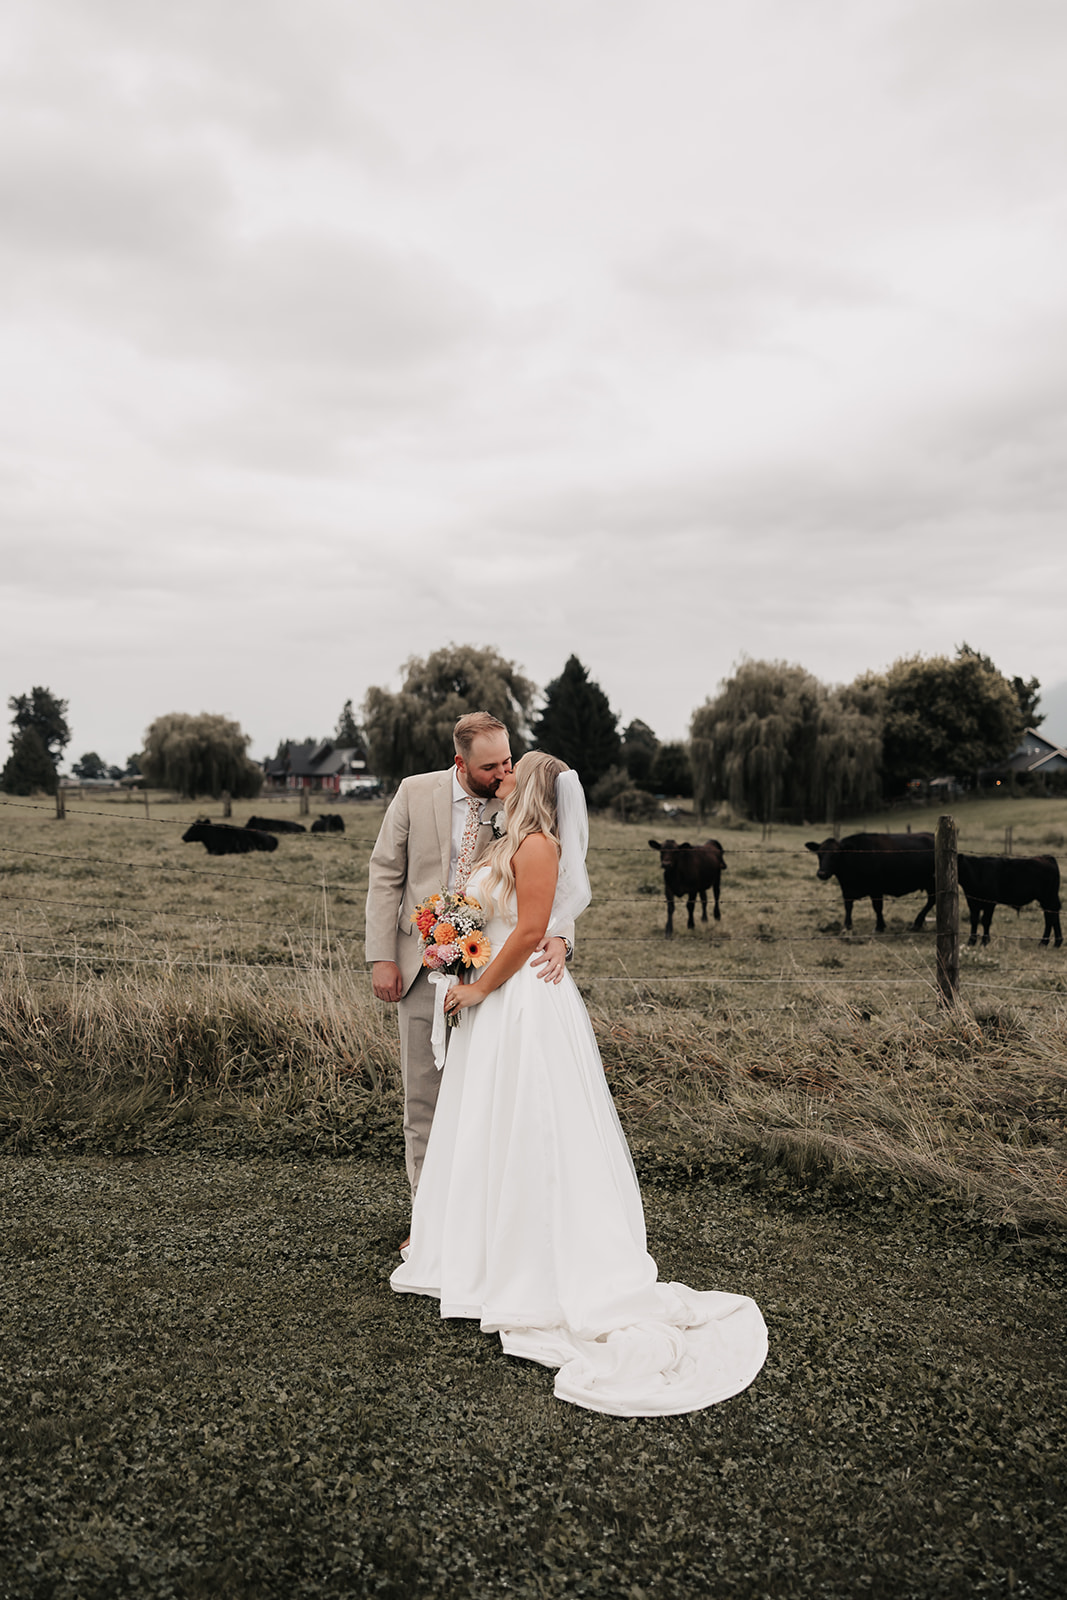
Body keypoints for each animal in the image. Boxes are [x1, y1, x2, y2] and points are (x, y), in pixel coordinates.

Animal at [806, 832, 940, 934]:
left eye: (836, 854)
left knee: (931, 900)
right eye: (819, 854)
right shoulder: (847, 889)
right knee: (931, 900)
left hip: (932, 883)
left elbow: (877, 907)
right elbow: (848, 906)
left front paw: (879, 927)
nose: (822, 873)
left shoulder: (876, 889)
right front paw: (847, 926)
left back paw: (917, 923)